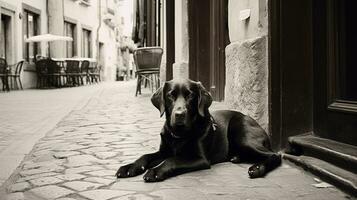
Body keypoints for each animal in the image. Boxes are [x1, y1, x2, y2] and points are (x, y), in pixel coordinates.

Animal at [117, 79, 280, 182]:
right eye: (170, 95)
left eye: (190, 95)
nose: (179, 114)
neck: (179, 135)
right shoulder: (164, 151)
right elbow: (145, 156)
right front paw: (129, 167)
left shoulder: (200, 158)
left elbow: (173, 159)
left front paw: (156, 171)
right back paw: (237, 157)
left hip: (241, 134)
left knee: (275, 155)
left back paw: (257, 168)